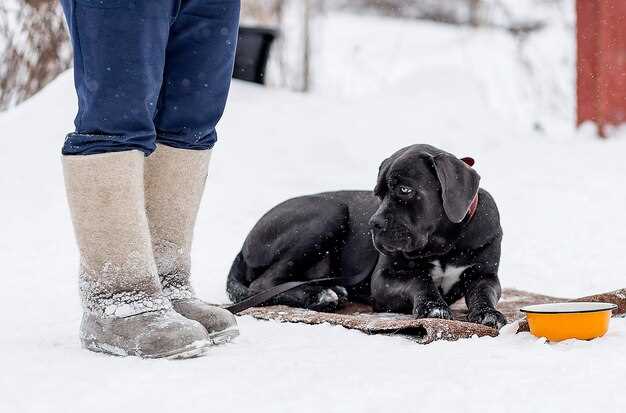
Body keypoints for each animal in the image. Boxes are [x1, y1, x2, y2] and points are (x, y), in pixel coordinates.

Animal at [227, 145, 504, 328]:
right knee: (262, 285)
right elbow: (420, 278)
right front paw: (432, 306)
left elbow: (483, 292)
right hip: (330, 211)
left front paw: (487, 313)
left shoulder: (484, 275)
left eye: (405, 190)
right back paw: (320, 295)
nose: (373, 223)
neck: (445, 244)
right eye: (378, 194)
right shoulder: (384, 279)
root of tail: (243, 247)